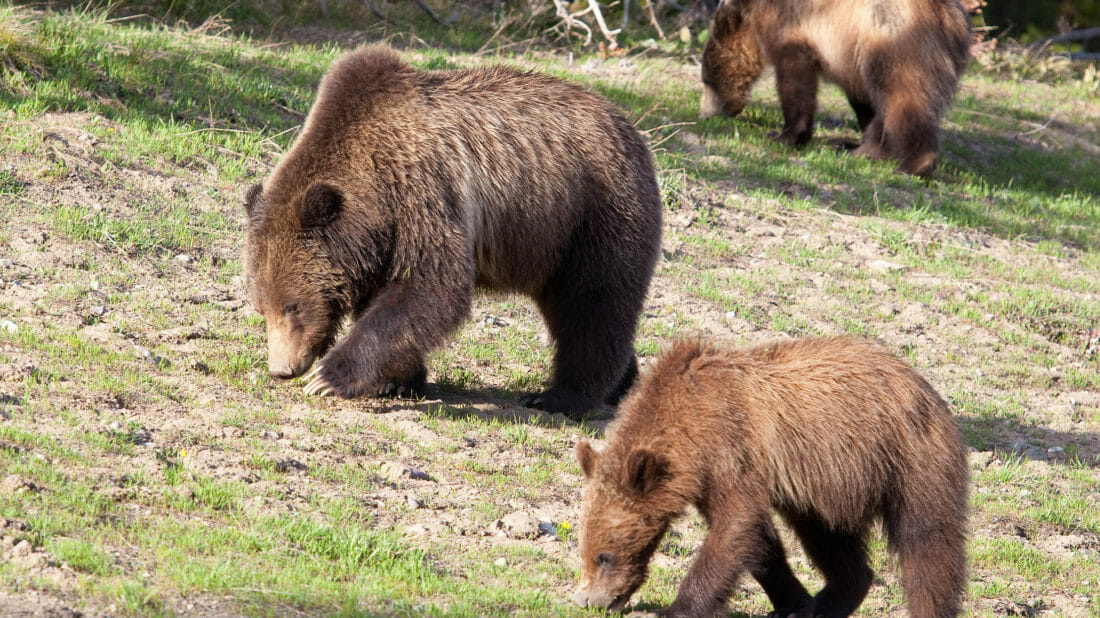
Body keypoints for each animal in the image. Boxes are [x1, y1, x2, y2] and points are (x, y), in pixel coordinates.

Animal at [242, 45, 660, 415]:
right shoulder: (381, 242)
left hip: (595, 211)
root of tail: (629, 126)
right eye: (262, 307)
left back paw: (562, 397)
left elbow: (433, 285)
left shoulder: (422, 192)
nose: (282, 369)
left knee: (593, 303)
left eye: (293, 306)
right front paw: (396, 381)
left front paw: (328, 378)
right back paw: (622, 385)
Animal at [572, 334, 968, 615]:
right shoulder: (714, 475)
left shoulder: (729, 448)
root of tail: (923, 383)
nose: (587, 600)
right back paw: (830, 602)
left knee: (928, 544)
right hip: (830, 484)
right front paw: (793, 604)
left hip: (909, 457)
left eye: (604, 555)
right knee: (830, 538)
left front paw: (675, 609)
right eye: (584, 550)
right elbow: (757, 539)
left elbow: (735, 525)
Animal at [699, 0, 968, 175]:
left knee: (903, 99)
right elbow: (862, 99)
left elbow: (795, 81)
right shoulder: (850, 57)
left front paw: (784, 135)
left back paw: (912, 166)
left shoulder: (794, 30)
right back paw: (857, 150)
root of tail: (952, 19)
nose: (705, 114)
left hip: (897, 42)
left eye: (706, 81)